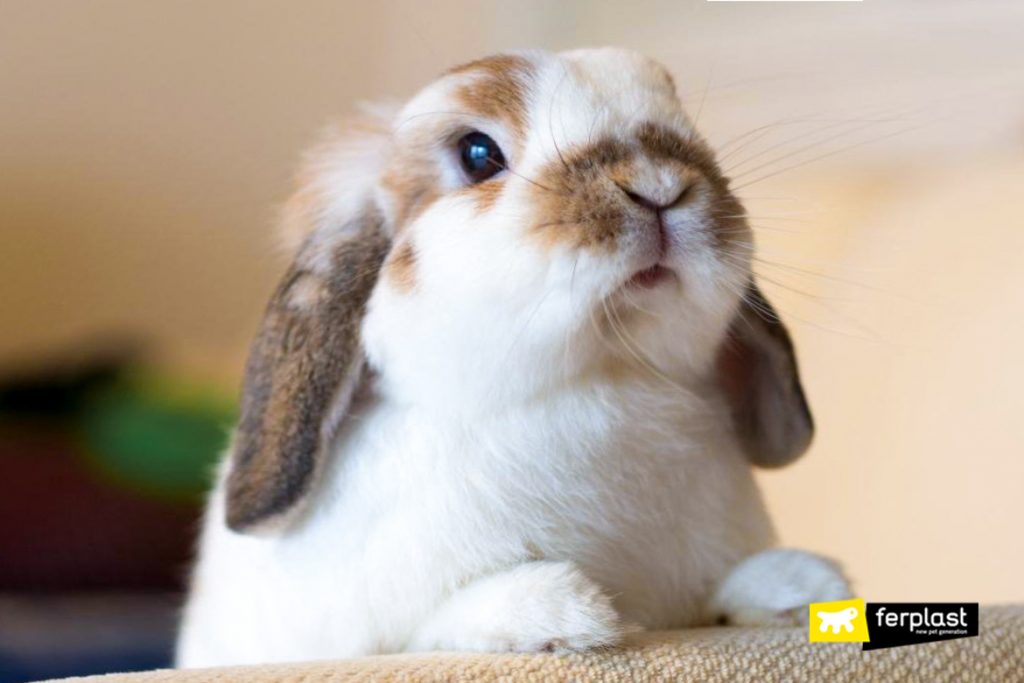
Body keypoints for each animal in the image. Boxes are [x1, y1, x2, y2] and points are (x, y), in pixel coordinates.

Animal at [176, 48, 851, 668]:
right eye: (478, 154)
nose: (660, 186)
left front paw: (803, 584)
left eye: (681, 117)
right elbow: (440, 622)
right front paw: (562, 611)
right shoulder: (380, 632)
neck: (603, 374)